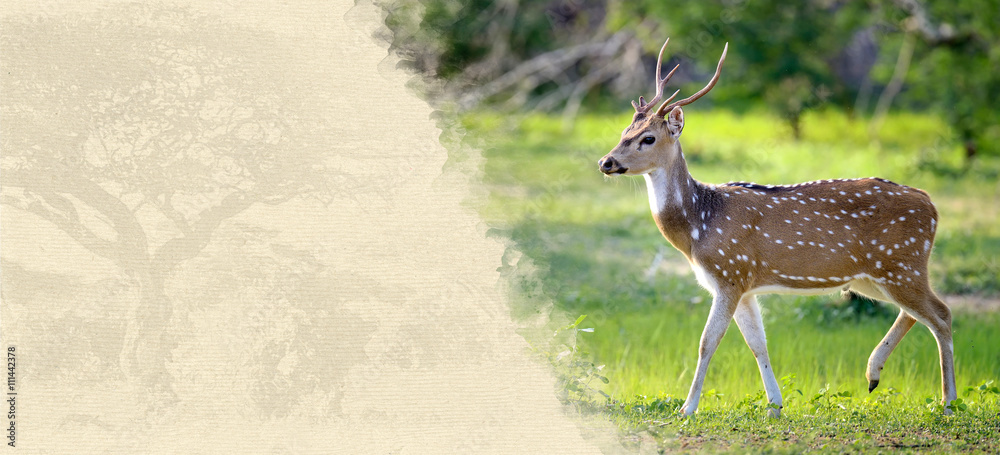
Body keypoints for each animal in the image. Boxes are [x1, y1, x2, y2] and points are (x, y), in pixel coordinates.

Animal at [597, 39, 956, 418]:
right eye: (623, 133)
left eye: (648, 138)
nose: (606, 162)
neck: (699, 226)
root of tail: (931, 206)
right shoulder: (743, 284)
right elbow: (758, 343)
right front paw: (774, 405)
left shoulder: (729, 273)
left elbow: (707, 342)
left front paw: (688, 408)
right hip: (873, 276)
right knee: (917, 313)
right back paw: (873, 375)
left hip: (901, 264)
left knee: (942, 314)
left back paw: (947, 401)